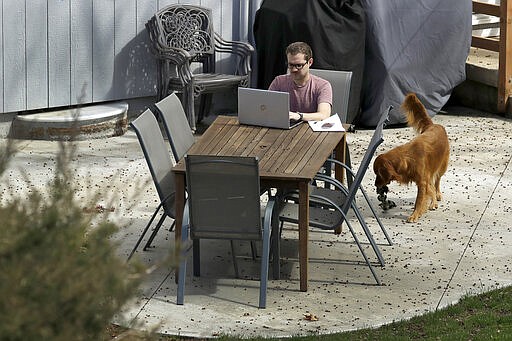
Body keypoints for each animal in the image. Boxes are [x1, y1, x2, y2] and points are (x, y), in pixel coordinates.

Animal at [374, 92, 450, 223]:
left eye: (378, 173)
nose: (375, 185)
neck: (407, 158)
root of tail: (433, 125)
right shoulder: (423, 179)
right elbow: (425, 194)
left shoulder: (422, 182)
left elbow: (420, 199)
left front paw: (415, 215)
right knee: (432, 185)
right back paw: (433, 202)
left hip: (442, 166)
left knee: (437, 181)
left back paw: (437, 195)